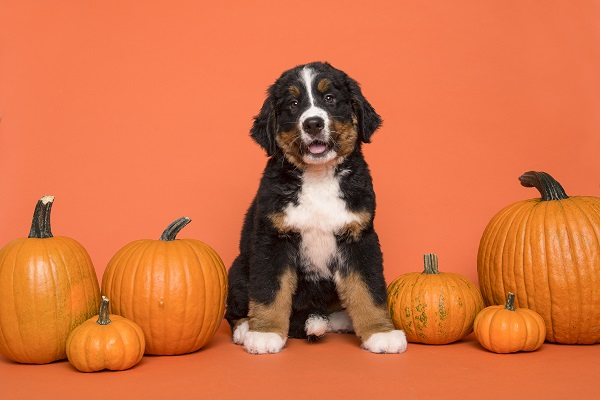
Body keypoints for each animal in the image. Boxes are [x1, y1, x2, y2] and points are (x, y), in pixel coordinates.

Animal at [226, 61, 408, 354]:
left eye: (330, 98)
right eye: (293, 103)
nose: (313, 123)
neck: (318, 176)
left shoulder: (359, 238)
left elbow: (368, 289)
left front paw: (381, 333)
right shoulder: (272, 240)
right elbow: (269, 291)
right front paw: (265, 333)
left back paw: (334, 320)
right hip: (239, 267)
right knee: (233, 310)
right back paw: (246, 328)